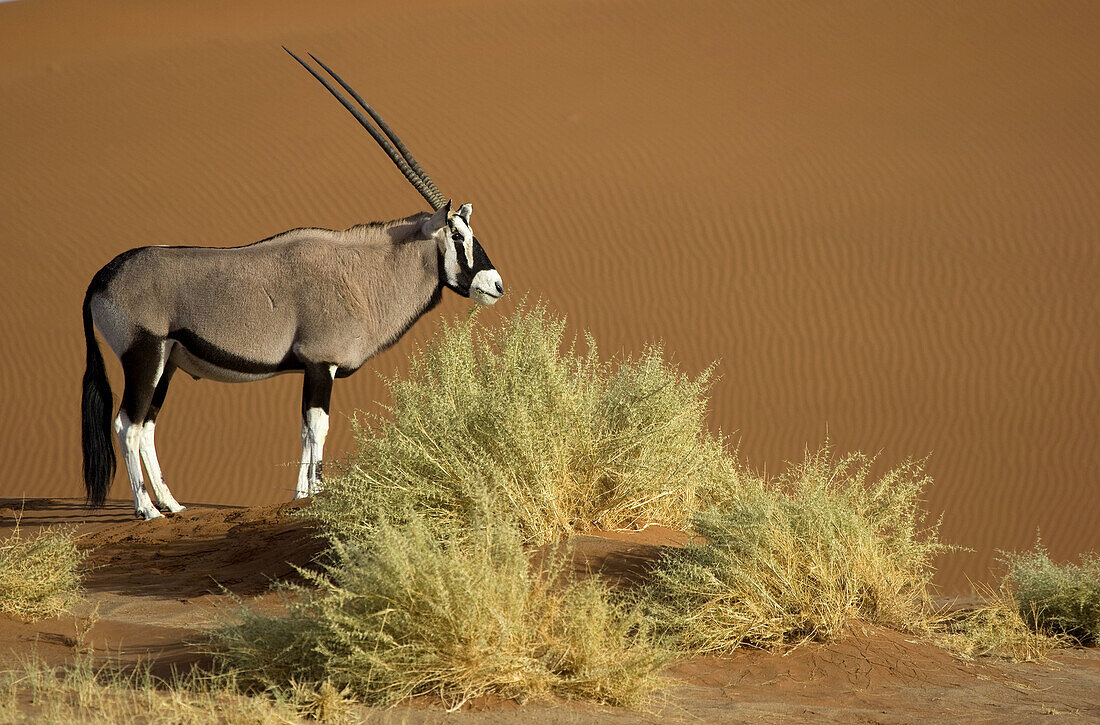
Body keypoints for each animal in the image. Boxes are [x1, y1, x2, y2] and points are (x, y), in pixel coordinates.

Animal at [80, 48, 503, 519]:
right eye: (458, 235)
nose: (496, 285)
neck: (362, 274)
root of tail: (102, 278)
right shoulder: (321, 364)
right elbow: (317, 427)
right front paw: (314, 493)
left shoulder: (314, 368)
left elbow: (305, 428)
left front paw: (302, 494)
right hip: (143, 355)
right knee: (127, 424)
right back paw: (147, 510)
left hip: (166, 362)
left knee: (148, 425)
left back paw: (172, 504)